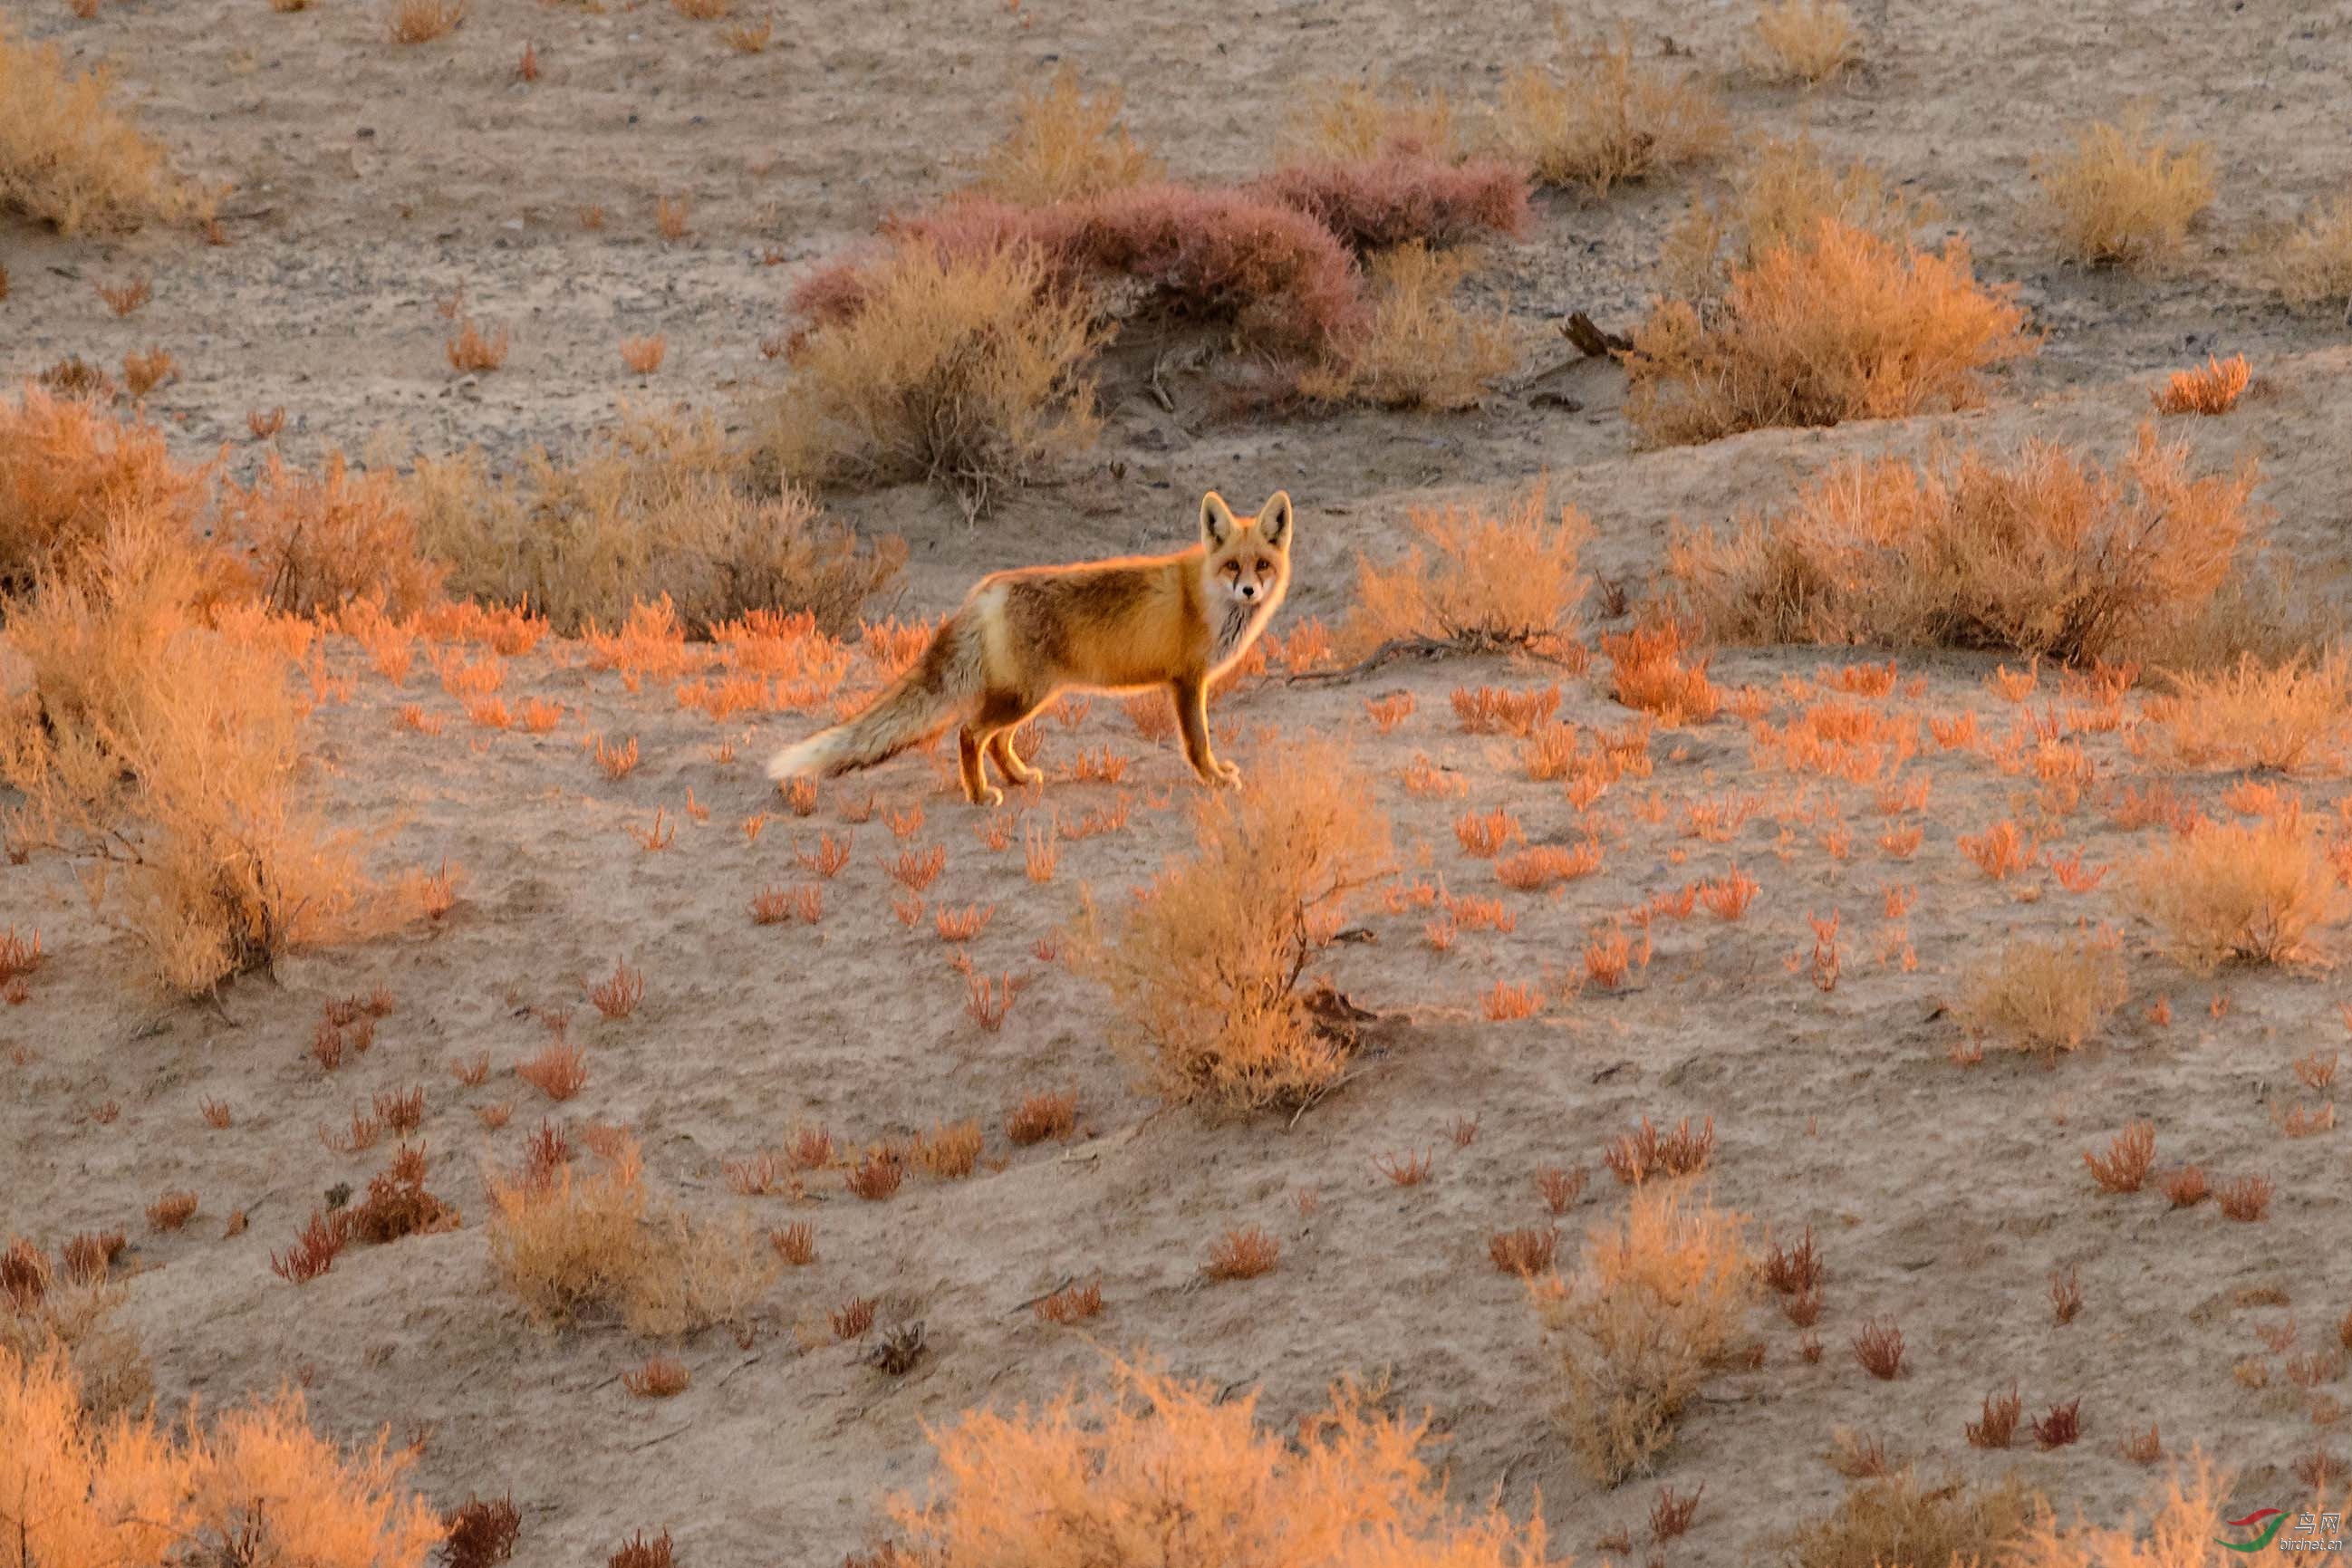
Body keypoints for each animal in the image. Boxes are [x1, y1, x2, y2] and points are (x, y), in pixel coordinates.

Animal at [766, 491, 1288, 808]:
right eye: (1232, 566)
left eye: (1262, 564)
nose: (1249, 591)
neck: (1205, 597)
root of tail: (987, 589)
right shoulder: (1187, 681)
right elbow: (1198, 742)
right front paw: (1214, 779)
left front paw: (1218, 773)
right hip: (1026, 696)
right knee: (971, 733)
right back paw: (980, 795)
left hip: (1031, 695)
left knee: (997, 741)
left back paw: (1018, 779)